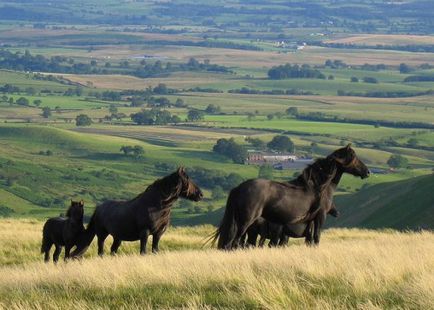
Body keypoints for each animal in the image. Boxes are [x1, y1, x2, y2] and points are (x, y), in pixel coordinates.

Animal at [71, 167, 203, 256]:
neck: (155, 205)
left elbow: (155, 250)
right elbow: (143, 251)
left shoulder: (158, 234)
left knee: (113, 250)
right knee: (101, 251)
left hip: (117, 237)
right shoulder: (144, 232)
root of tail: (98, 208)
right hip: (102, 235)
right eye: (187, 179)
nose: (200, 194)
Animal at [212, 145, 368, 249]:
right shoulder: (320, 217)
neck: (319, 186)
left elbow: (310, 241)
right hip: (245, 222)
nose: (367, 172)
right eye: (354, 157)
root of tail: (238, 188)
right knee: (234, 243)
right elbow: (317, 238)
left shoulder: (309, 221)